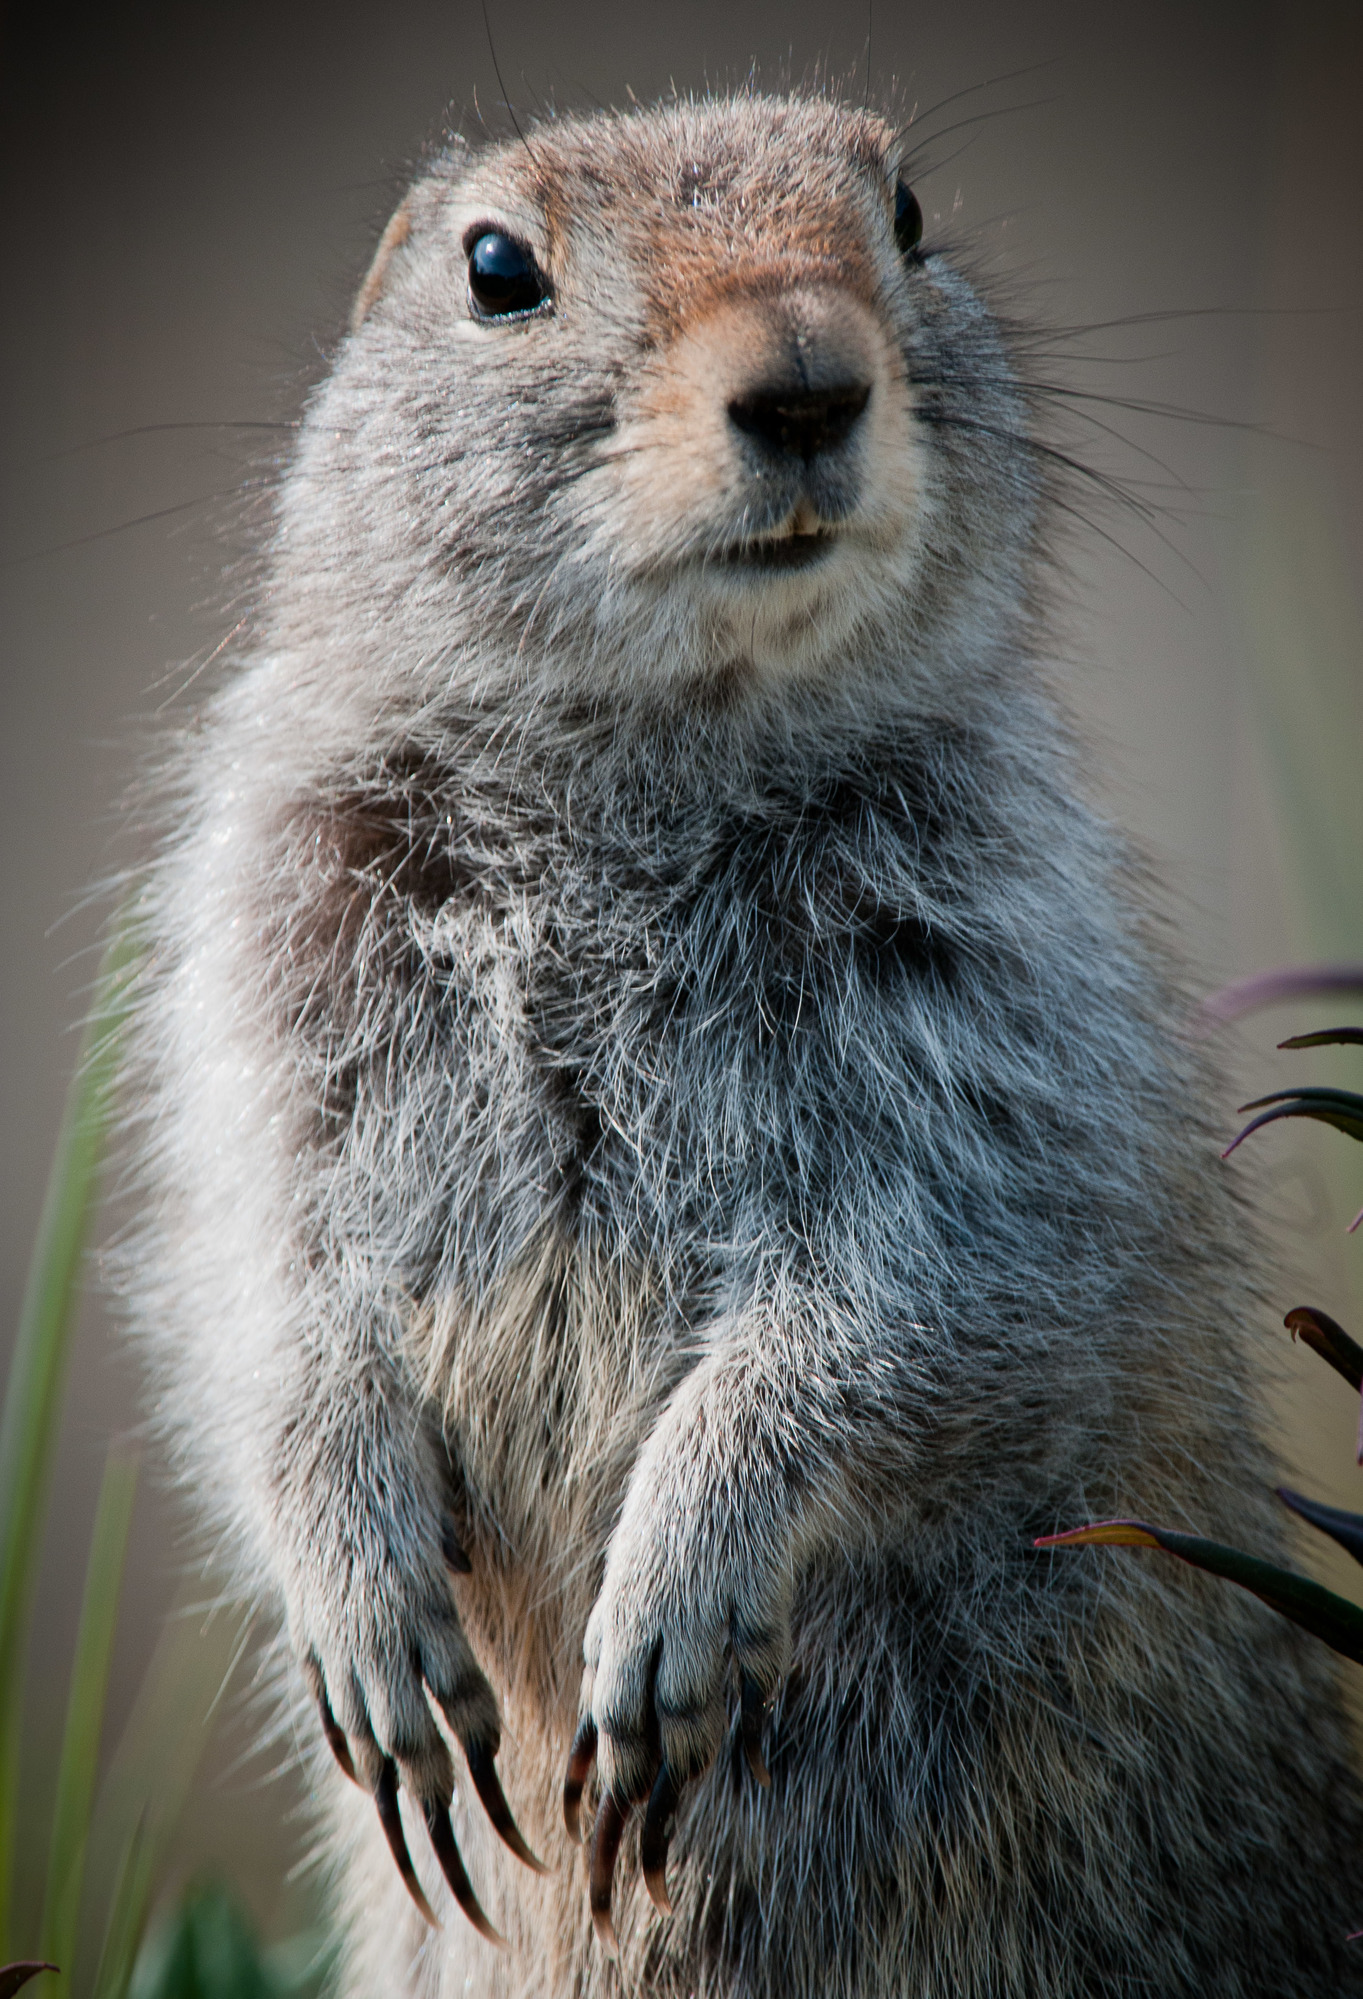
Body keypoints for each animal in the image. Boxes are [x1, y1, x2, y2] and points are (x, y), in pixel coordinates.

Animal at [124, 90, 1363, 1996]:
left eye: (907, 211)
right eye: (497, 268)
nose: (804, 378)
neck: (646, 758)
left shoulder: (990, 1026)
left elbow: (878, 1315)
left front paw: (656, 1635)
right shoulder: (266, 990)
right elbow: (266, 1299)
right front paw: (374, 1644)